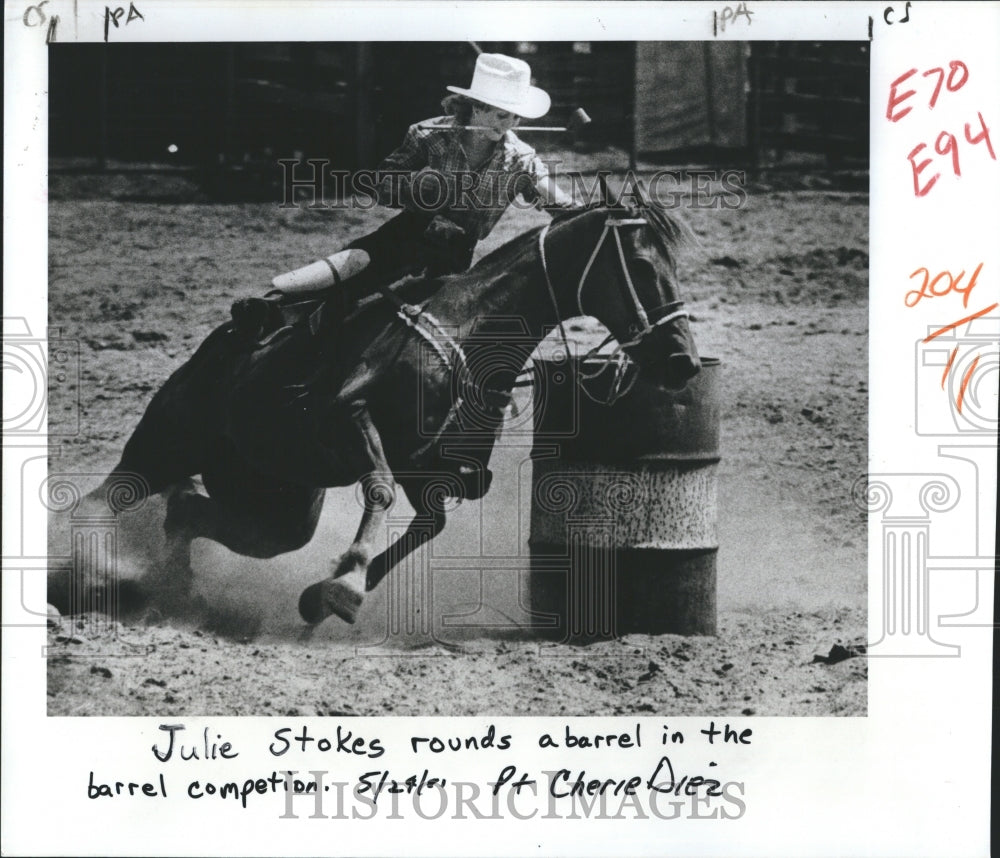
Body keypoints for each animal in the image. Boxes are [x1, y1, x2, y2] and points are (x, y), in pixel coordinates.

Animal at [78, 203, 700, 624]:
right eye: (640, 265)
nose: (685, 362)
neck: (469, 327)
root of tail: (216, 349)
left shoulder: (428, 468)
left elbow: (430, 525)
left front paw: (322, 596)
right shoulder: (350, 417)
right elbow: (378, 487)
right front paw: (347, 581)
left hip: (277, 508)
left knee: (189, 511)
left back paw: (176, 591)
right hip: (165, 443)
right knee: (108, 497)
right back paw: (96, 570)